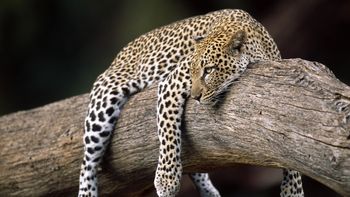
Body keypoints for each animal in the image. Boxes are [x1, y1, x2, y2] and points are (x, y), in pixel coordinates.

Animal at [78, 8, 304, 196]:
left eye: (209, 70)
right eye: (192, 71)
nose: (195, 96)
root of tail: (121, 53)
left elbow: (287, 143)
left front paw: (292, 190)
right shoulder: (171, 83)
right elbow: (168, 132)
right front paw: (166, 180)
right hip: (104, 102)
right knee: (87, 163)